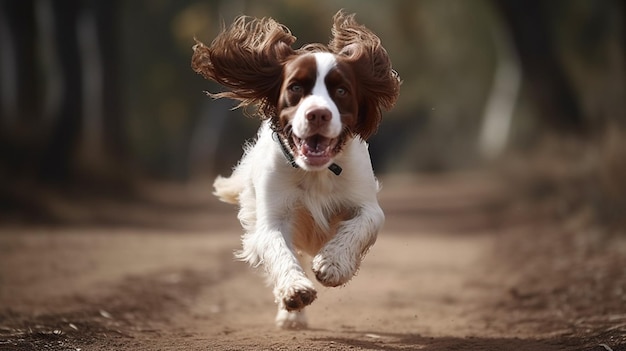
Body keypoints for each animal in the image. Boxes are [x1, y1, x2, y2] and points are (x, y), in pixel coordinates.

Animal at [190, 11, 400, 330]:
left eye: (341, 90)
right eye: (296, 88)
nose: (318, 114)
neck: (316, 173)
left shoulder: (366, 204)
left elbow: (359, 226)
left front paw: (332, 264)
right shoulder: (271, 218)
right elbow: (278, 249)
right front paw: (294, 291)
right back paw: (291, 316)